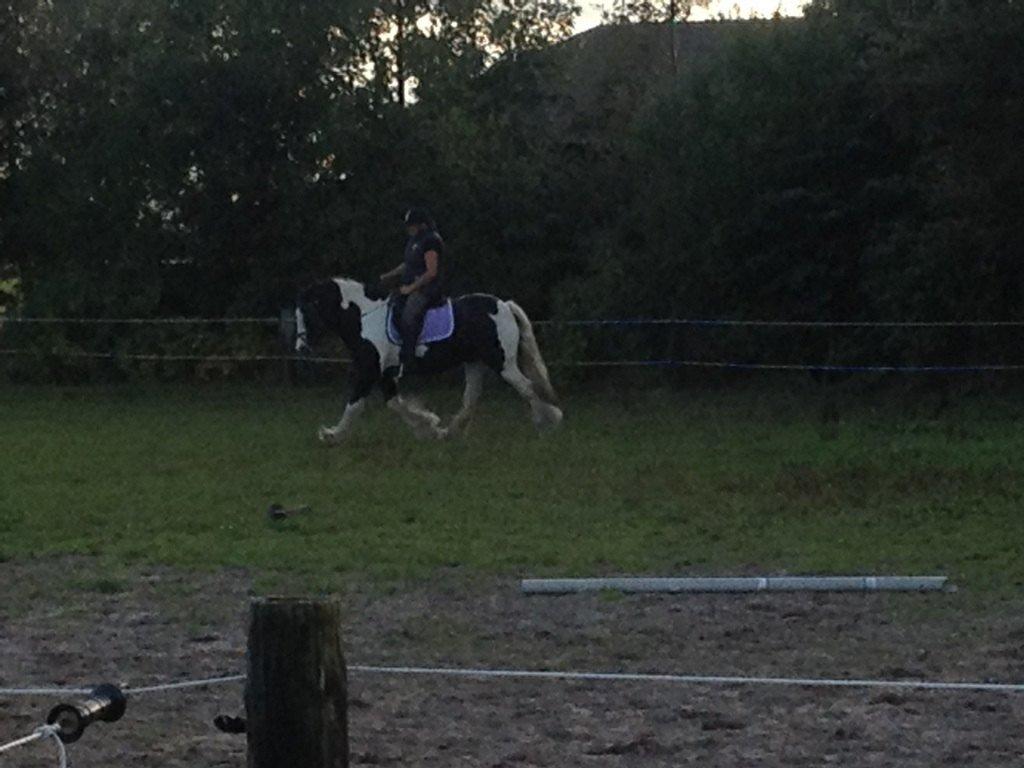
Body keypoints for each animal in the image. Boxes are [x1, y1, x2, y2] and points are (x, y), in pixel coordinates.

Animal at [292, 280, 565, 442]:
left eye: (306, 312)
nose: (300, 348)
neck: (364, 317)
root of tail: (504, 305)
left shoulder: (368, 371)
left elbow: (354, 404)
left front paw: (331, 434)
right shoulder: (384, 374)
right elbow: (395, 404)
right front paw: (429, 427)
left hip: (503, 364)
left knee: (526, 386)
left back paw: (547, 422)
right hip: (475, 362)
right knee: (471, 396)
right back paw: (451, 432)